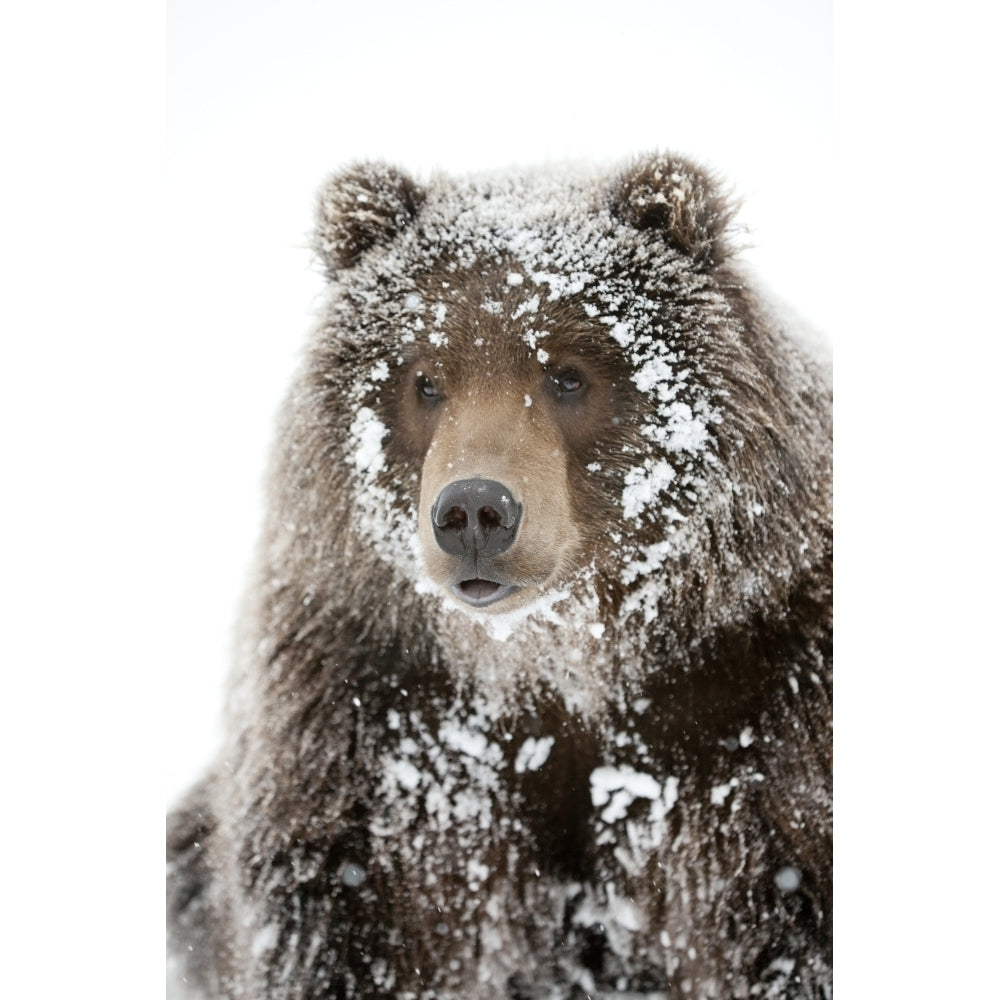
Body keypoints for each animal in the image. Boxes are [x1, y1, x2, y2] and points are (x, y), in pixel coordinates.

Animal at [168, 150, 832, 1000]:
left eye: (569, 374)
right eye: (425, 378)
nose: (474, 511)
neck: (555, 658)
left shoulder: (760, 694)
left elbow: (785, 898)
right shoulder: (370, 717)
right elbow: (355, 911)